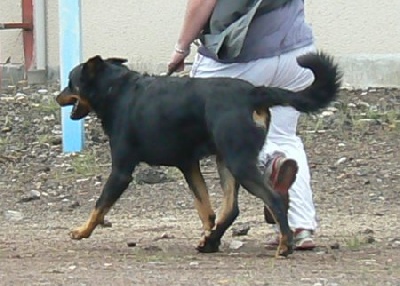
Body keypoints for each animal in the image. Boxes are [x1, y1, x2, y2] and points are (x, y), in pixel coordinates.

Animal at [56, 52, 342, 258]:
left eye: (71, 82)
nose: (57, 96)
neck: (115, 90)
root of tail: (253, 92)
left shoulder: (121, 172)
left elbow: (99, 205)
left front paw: (82, 231)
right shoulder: (189, 165)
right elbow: (205, 209)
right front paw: (208, 234)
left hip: (239, 162)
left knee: (273, 199)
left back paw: (285, 245)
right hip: (226, 161)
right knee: (231, 208)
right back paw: (211, 243)